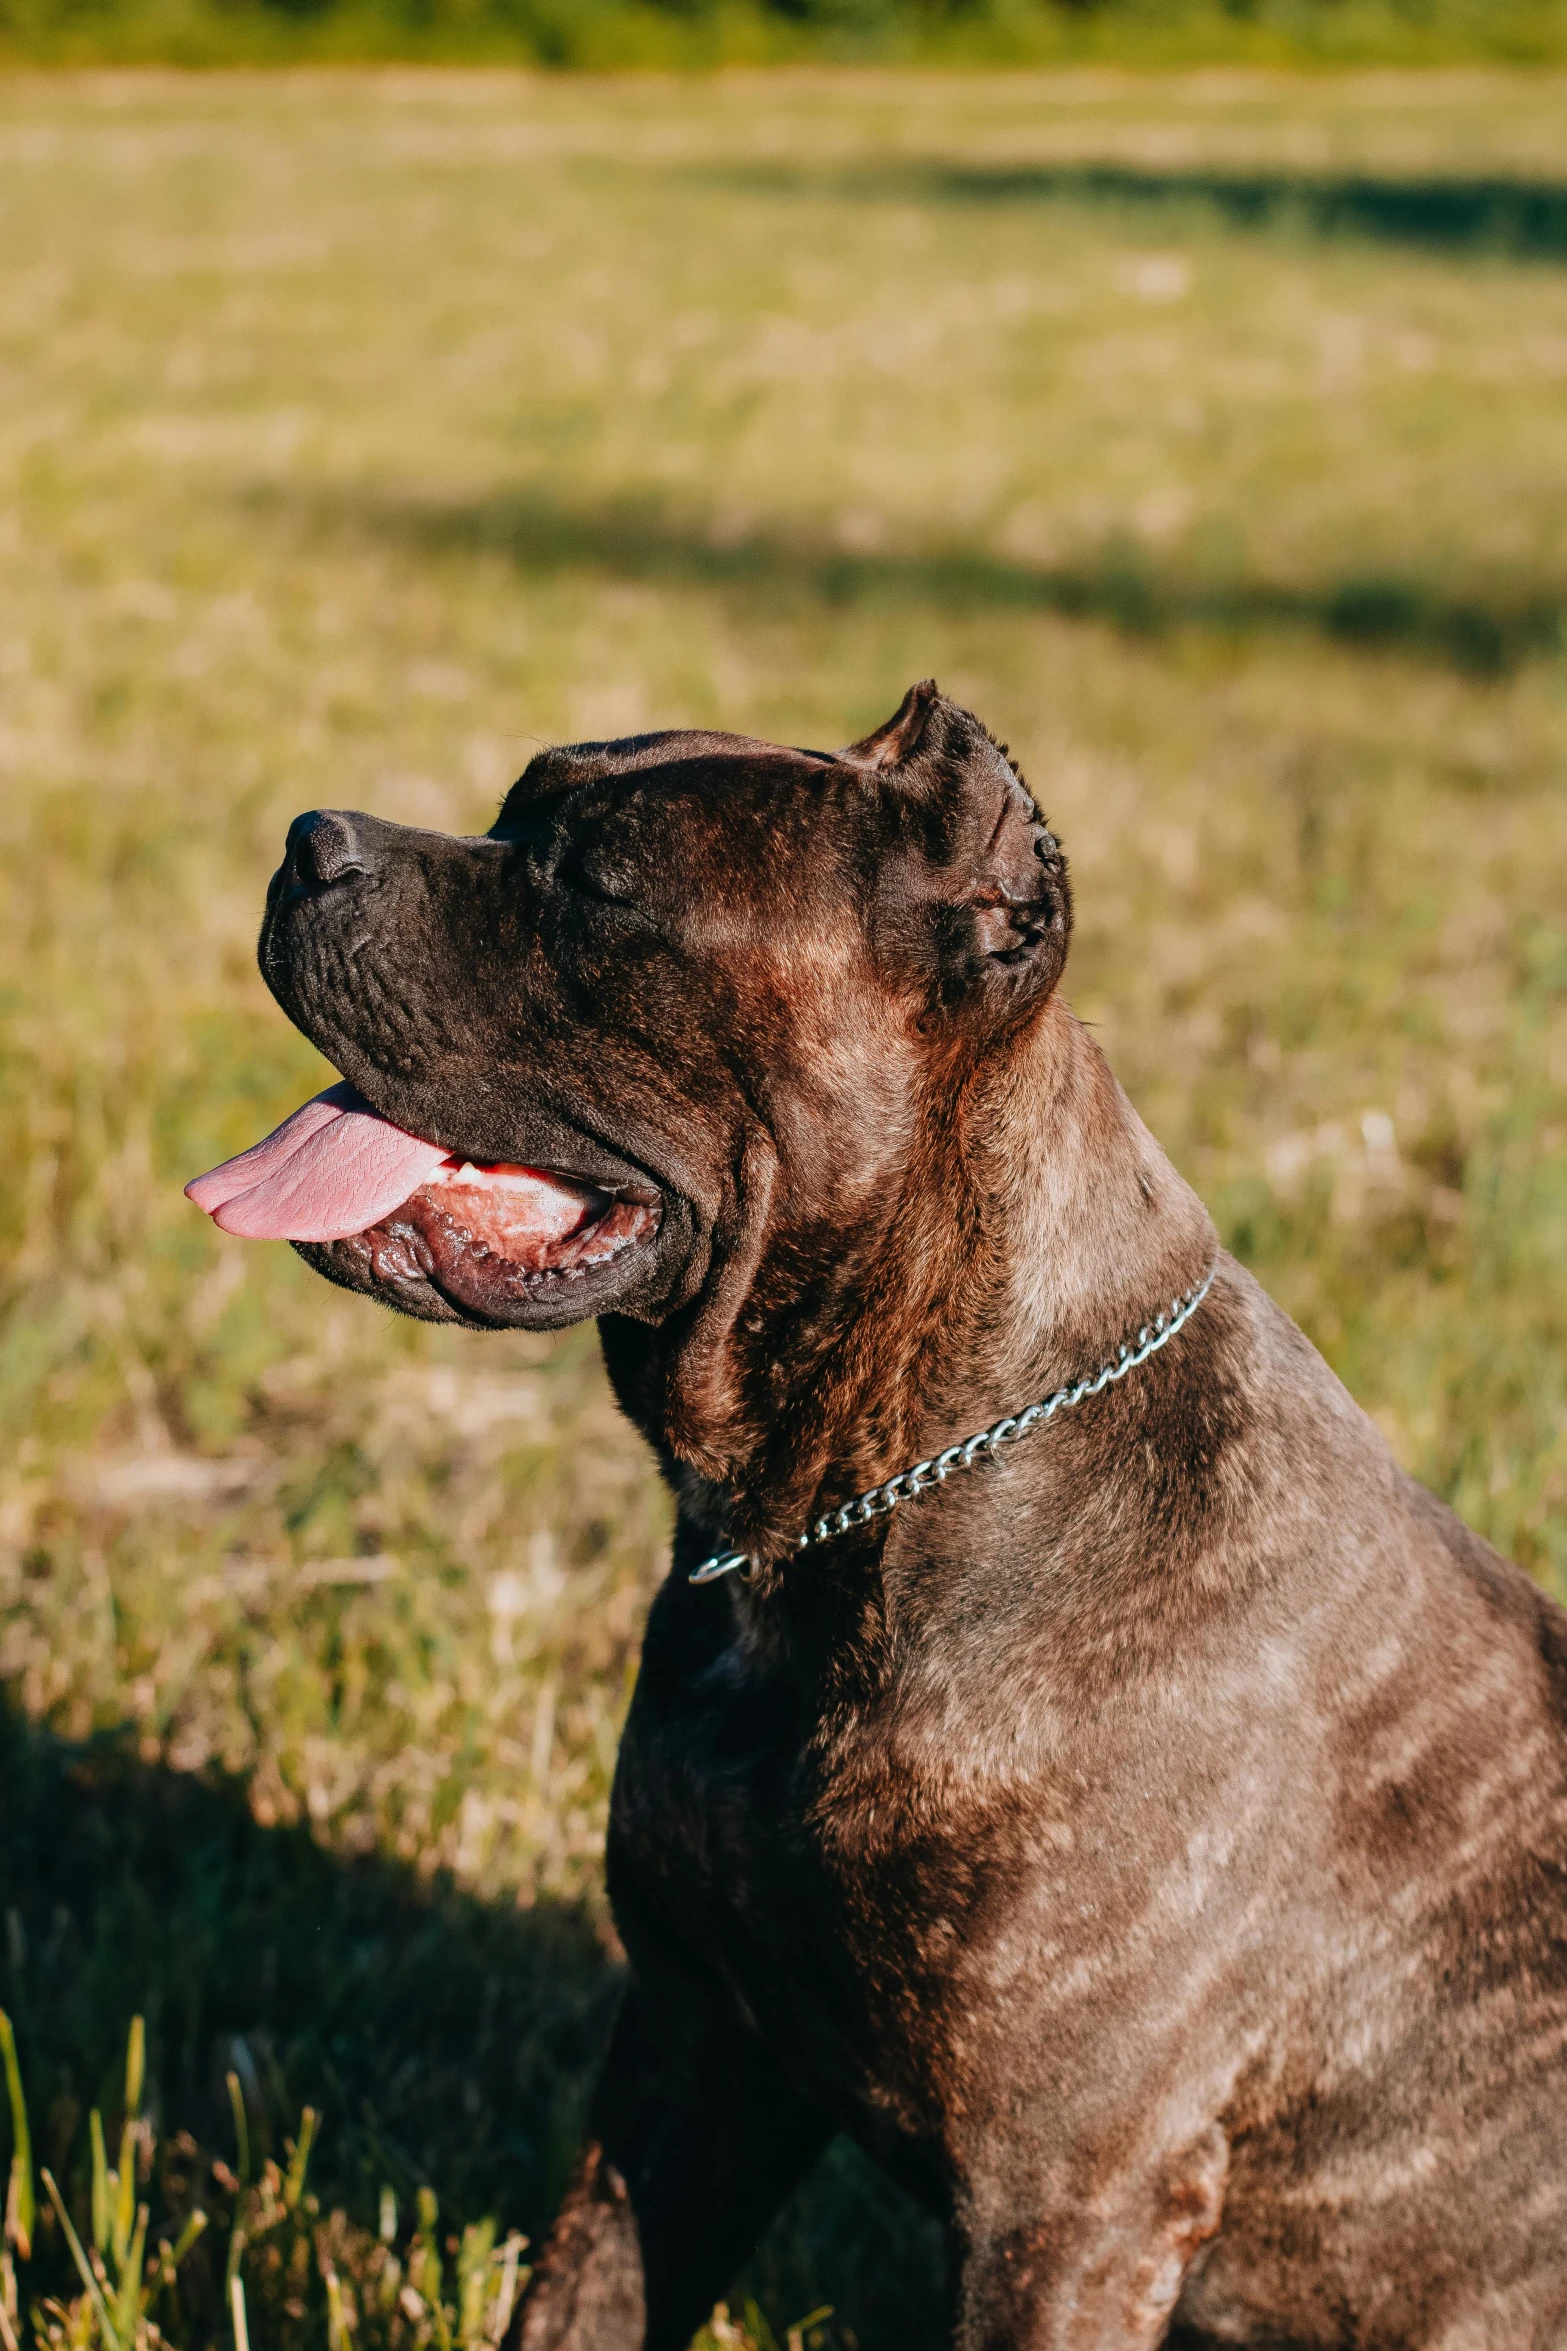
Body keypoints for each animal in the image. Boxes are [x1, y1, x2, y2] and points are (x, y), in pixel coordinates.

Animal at [192, 686, 1567, 2351]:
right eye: (518, 808)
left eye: (595, 882)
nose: (306, 839)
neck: (845, 1503)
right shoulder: (691, 2049)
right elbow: (577, 2306)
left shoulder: (1066, 2206)